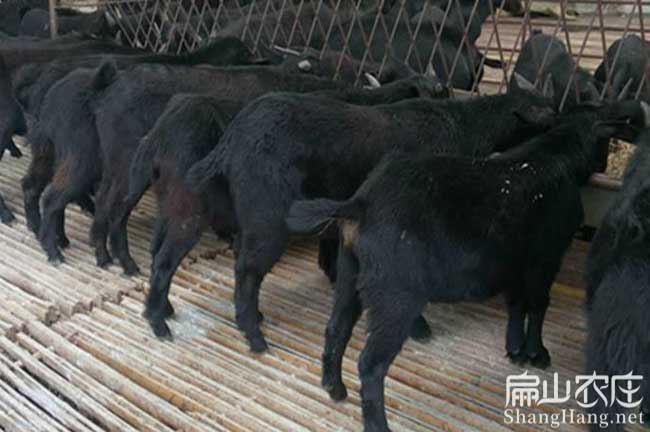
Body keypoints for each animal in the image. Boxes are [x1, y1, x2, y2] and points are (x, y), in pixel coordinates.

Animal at [286, 98, 648, 432]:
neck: (556, 157)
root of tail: (359, 204)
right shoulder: (546, 257)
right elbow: (538, 304)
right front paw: (537, 353)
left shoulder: (515, 261)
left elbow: (516, 302)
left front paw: (515, 349)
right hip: (395, 294)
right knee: (370, 363)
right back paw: (377, 423)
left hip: (351, 272)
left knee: (336, 329)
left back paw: (334, 389)